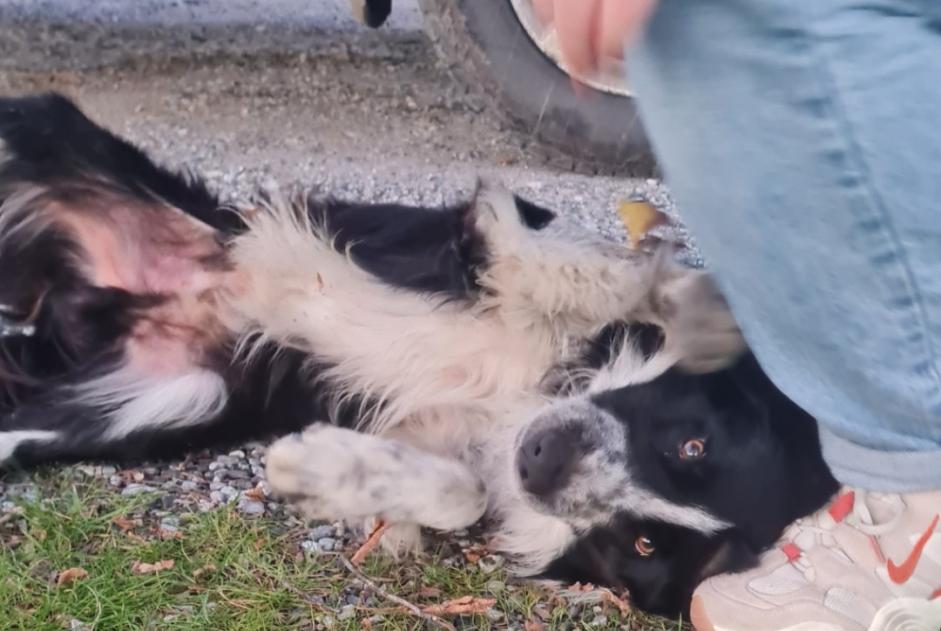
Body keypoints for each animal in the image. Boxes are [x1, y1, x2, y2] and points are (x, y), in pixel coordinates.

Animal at [0, 94, 836, 616]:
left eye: (639, 540)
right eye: (690, 441)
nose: (541, 463)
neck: (530, 394)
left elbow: (459, 489)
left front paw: (329, 475)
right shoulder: (500, 233)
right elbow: (602, 272)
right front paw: (688, 299)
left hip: (157, 399)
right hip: (36, 131)